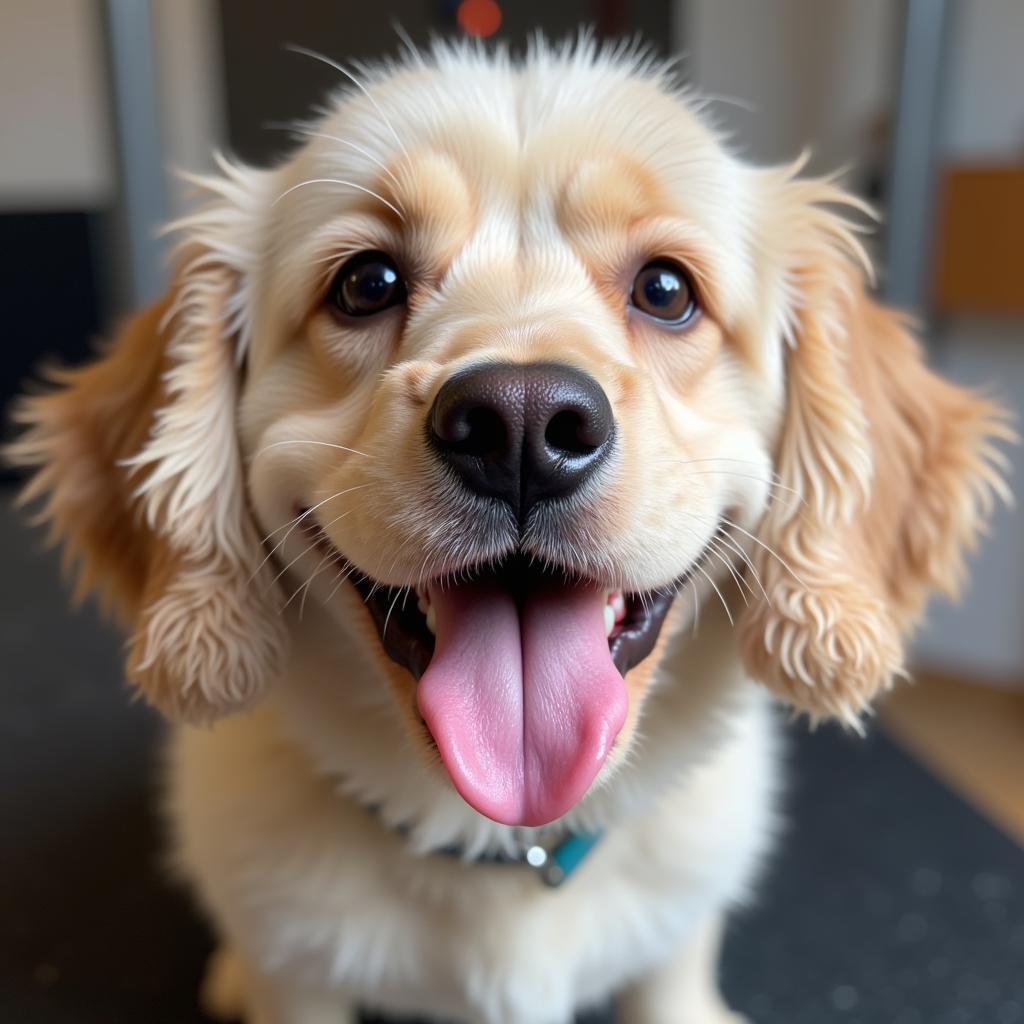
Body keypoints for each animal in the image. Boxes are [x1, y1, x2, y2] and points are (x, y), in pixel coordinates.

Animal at [8, 37, 1011, 1024]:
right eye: (366, 282)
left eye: (665, 289)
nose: (521, 425)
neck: (511, 838)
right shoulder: (298, 976)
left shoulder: (678, 939)